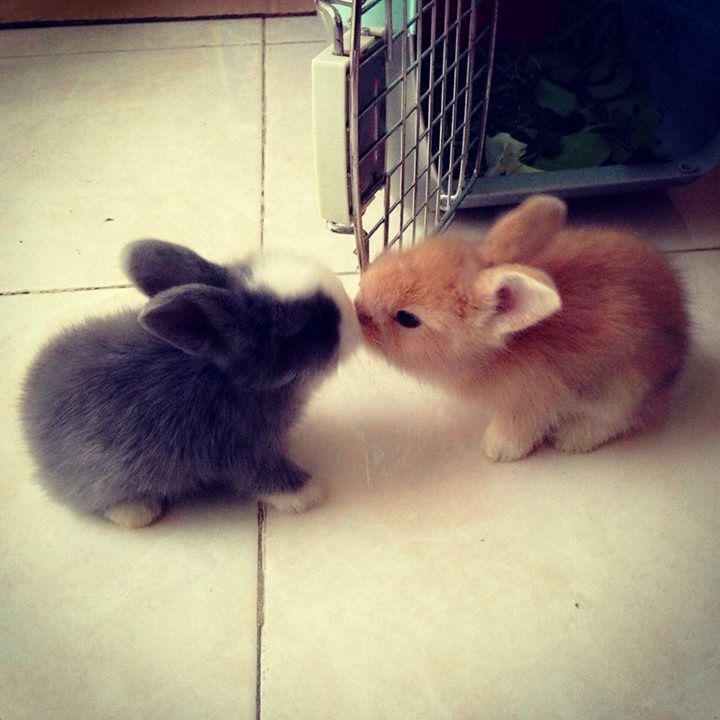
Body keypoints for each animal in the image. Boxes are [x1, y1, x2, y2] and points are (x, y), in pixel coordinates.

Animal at [22, 239, 360, 524]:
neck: (229, 378)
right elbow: (263, 475)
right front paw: (307, 494)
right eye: (305, 328)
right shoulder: (240, 447)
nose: (355, 318)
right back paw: (139, 512)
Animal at [358, 194, 688, 462]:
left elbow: (518, 429)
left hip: (624, 387)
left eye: (408, 319)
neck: (497, 353)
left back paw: (572, 439)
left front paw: (497, 451)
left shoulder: (531, 403)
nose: (358, 310)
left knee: (620, 419)